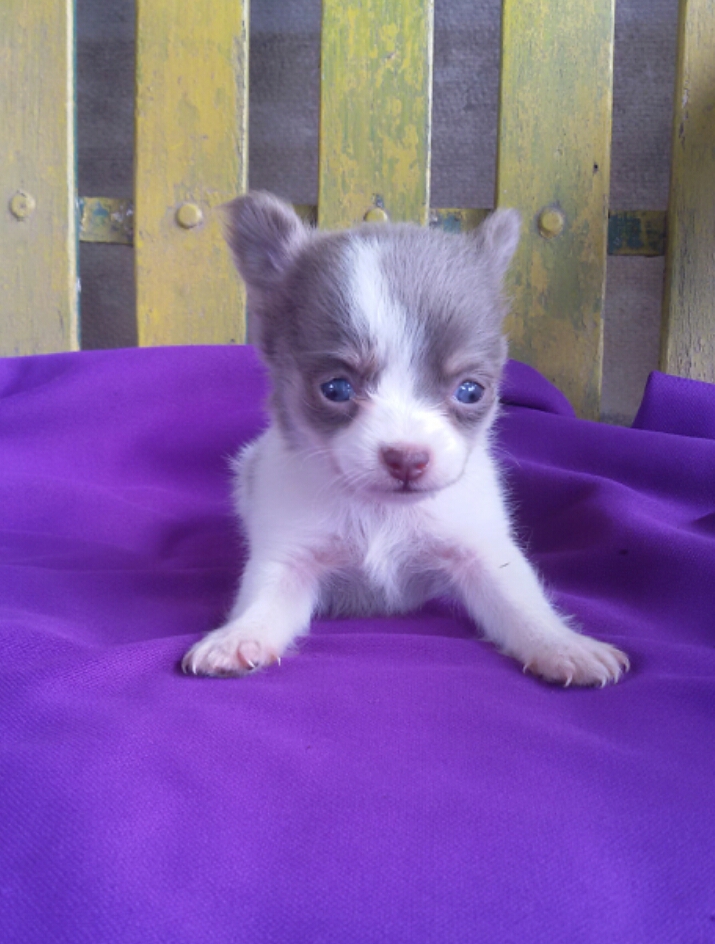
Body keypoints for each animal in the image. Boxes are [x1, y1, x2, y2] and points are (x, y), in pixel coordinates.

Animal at [182, 191, 629, 686]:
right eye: (335, 388)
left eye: (470, 391)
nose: (407, 458)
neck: (382, 514)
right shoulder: (290, 558)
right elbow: (264, 604)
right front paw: (239, 637)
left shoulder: (482, 553)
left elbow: (521, 603)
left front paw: (561, 645)